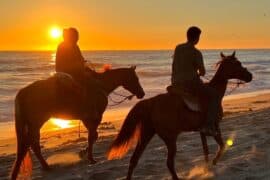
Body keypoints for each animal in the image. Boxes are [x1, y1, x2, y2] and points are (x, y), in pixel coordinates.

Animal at [11, 66, 146, 180]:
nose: (142, 94)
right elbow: (92, 137)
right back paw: (45, 167)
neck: (101, 85)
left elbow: (93, 136)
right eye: (135, 78)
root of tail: (23, 92)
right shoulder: (94, 117)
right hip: (37, 122)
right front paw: (90, 158)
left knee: (30, 144)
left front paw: (84, 153)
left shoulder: (87, 119)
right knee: (31, 143)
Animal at [107, 51, 253, 179]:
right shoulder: (214, 127)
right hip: (170, 138)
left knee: (134, 160)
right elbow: (221, 146)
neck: (215, 92)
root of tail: (150, 102)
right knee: (169, 163)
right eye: (237, 63)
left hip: (146, 135)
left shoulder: (202, 131)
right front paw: (213, 163)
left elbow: (206, 151)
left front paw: (207, 168)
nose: (250, 76)